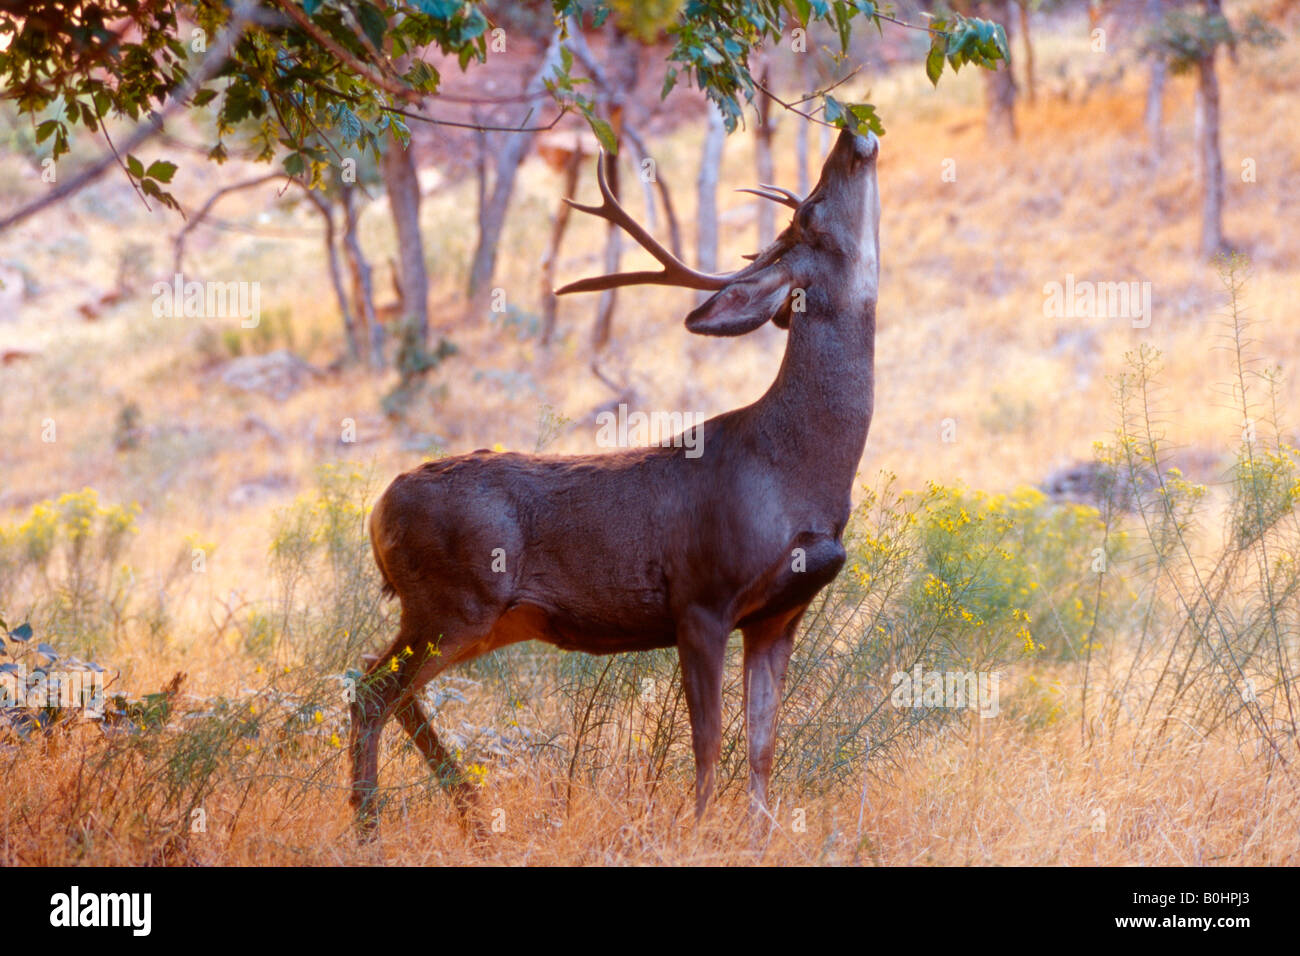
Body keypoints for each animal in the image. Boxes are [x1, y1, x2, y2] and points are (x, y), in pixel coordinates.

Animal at [353, 128, 883, 837]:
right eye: (810, 214)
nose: (853, 133)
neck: (797, 473)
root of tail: (377, 510)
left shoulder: (779, 615)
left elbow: (763, 746)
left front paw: (759, 835)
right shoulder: (701, 595)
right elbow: (709, 740)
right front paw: (696, 832)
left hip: (476, 617)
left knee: (389, 688)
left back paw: (468, 814)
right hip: (452, 600)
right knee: (370, 689)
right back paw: (370, 825)